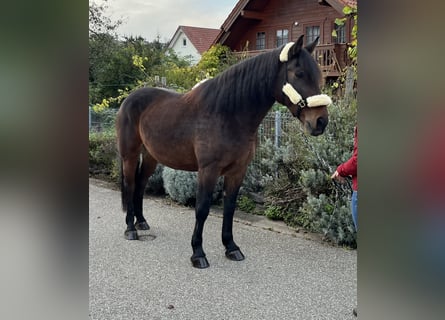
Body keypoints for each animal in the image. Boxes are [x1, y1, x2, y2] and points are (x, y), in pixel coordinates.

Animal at [115, 34, 330, 268]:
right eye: (299, 73)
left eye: (319, 75)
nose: (320, 122)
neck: (227, 114)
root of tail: (129, 99)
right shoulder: (208, 170)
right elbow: (202, 209)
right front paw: (198, 253)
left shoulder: (238, 171)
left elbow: (230, 208)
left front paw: (231, 247)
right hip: (129, 155)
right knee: (130, 185)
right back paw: (131, 229)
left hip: (151, 157)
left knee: (140, 185)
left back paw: (142, 222)